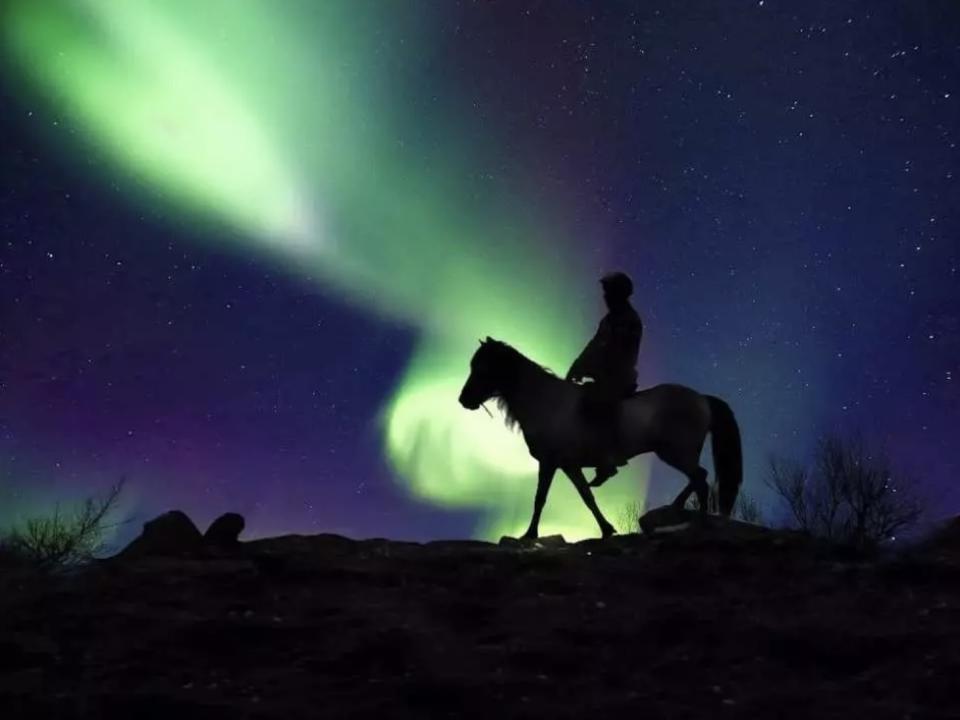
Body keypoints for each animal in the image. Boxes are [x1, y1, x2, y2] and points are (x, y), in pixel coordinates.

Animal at [458, 338, 744, 540]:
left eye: (482, 368)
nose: (463, 400)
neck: (546, 403)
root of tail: (701, 398)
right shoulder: (569, 466)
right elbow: (587, 497)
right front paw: (607, 529)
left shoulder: (550, 463)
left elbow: (540, 498)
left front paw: (529, 535)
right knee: (698, 478)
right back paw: (680, 509)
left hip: (676, 453)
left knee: (700, 478)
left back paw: (698, 522)